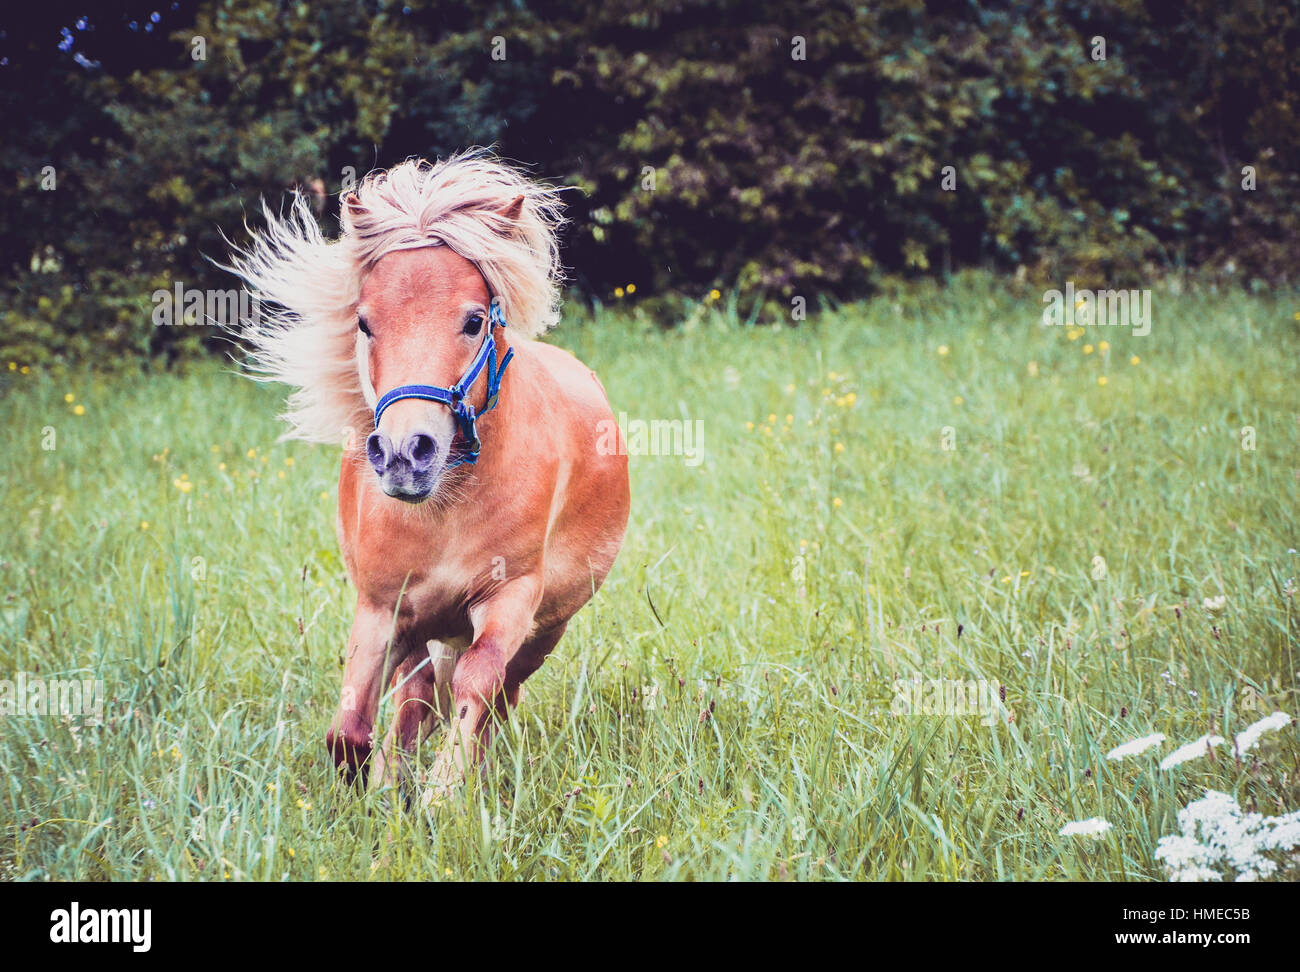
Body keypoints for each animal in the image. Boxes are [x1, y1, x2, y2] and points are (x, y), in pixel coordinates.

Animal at [226, 152, 631, 790]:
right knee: (416, 690)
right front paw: (377, 784)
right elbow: (350, 724)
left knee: (501, 692)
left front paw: (444, 793)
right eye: (364, 323)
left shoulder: (509, 597)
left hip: (545, 630)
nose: (403, 453)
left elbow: (477, 685)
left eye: (473, 321)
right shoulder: (381, 608)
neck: (447, 506)